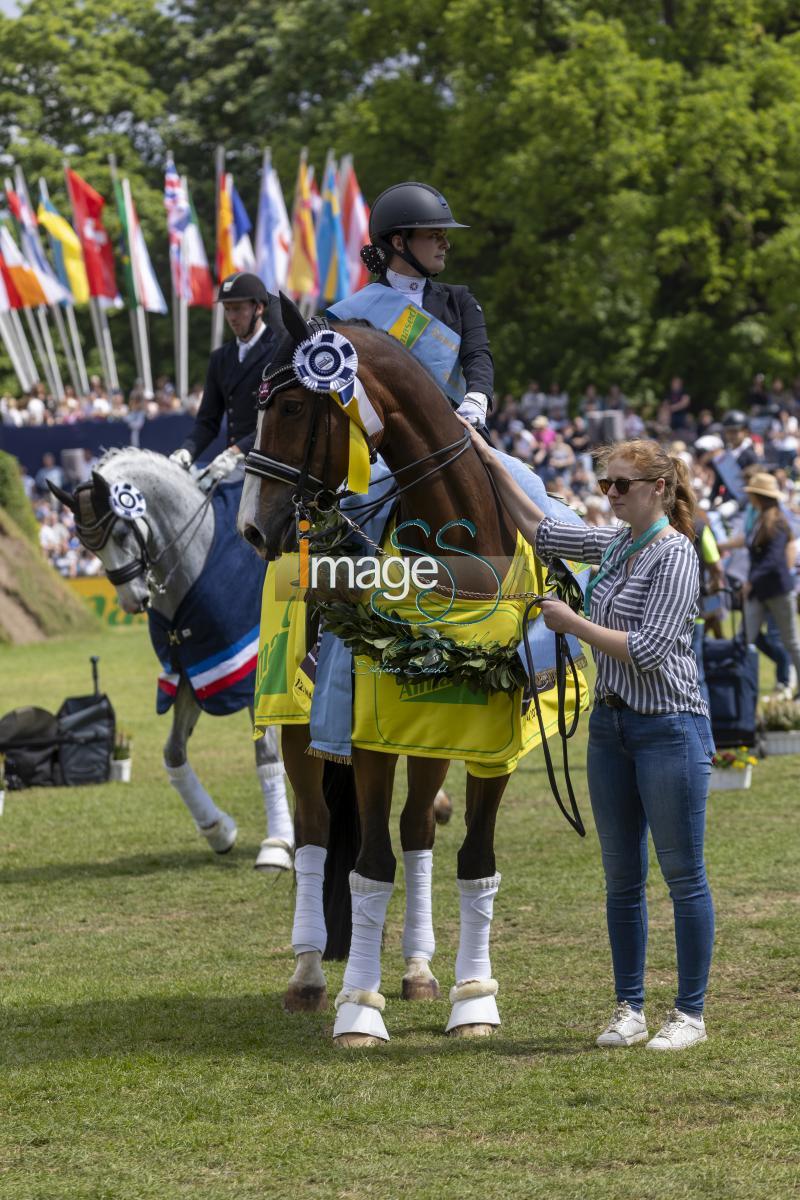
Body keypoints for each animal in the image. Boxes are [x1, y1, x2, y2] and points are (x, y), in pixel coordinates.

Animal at [237, 297, 575, 1041]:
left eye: (295, 408)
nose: (253, 525)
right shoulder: (367, 744)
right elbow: (368, 869)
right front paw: (358, 1010)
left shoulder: (491, 748)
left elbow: (473, 863)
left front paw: (473, 1000)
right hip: (299, 730)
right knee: (313, 834)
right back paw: (309, 976)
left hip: (432, 740)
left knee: (419, 831)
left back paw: (420, 970)